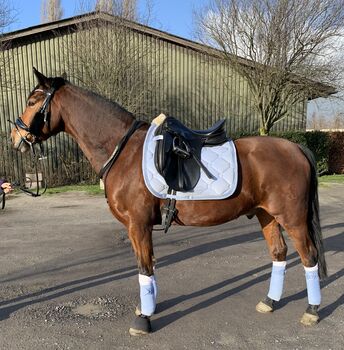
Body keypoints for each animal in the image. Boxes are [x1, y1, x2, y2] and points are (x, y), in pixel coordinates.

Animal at [10, 69, 326, 336]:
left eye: (32, 101)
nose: (15, 137)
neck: (123, 151)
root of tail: (296, 147)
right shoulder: (138, 227)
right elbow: (148, 266)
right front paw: (147, 307)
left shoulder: (138, 225)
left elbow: (144, 267)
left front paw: (143, 320)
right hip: (266, 215)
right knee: (279, 253)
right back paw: (270, 302)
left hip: (293, 218)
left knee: (309, 256)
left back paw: (311, 310)